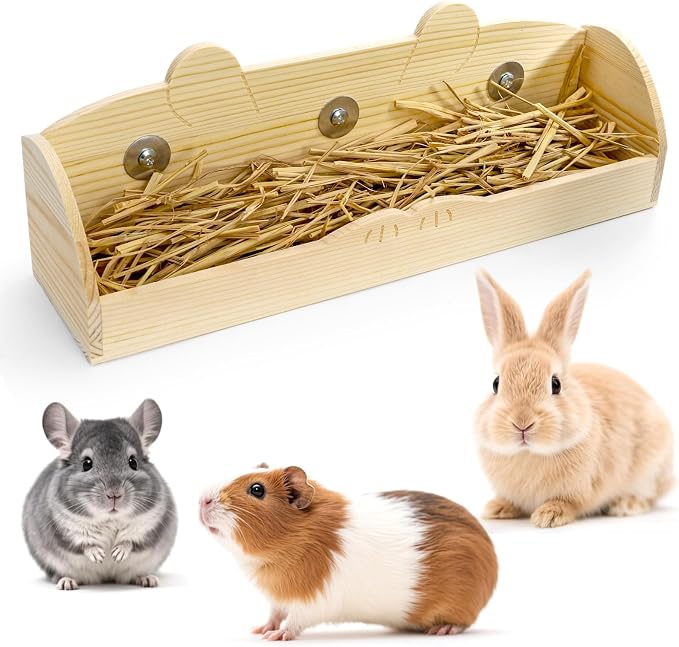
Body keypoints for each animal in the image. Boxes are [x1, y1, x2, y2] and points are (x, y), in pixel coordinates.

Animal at [23, 399, 177, 590]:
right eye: (86, 463)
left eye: (133, 462)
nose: (114, 494)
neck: (109, 519)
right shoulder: (65, 532)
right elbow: (84, 543)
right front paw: (98, 555)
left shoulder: (149, 526)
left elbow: (131, 541)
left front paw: (118, 553)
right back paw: (67, 582)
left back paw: (146, 579)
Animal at [200, 465, 497, 640]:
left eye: (257, 489)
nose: (203, 500)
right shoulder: (279, 599)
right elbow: (274, 614)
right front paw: (260, 630)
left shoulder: (311, 601)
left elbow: (293, 622)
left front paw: (276, 637)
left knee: (463, 622)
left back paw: (442, 630)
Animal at [474, 270, 673, 528]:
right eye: (496, 384)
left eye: (555, 384)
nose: (522, 423)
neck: (529, 453)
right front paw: (497, 508)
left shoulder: (582, 489)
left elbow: (569, 503)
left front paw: (548, 516)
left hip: (651, 468)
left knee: (650, 496)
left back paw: (625, 505)